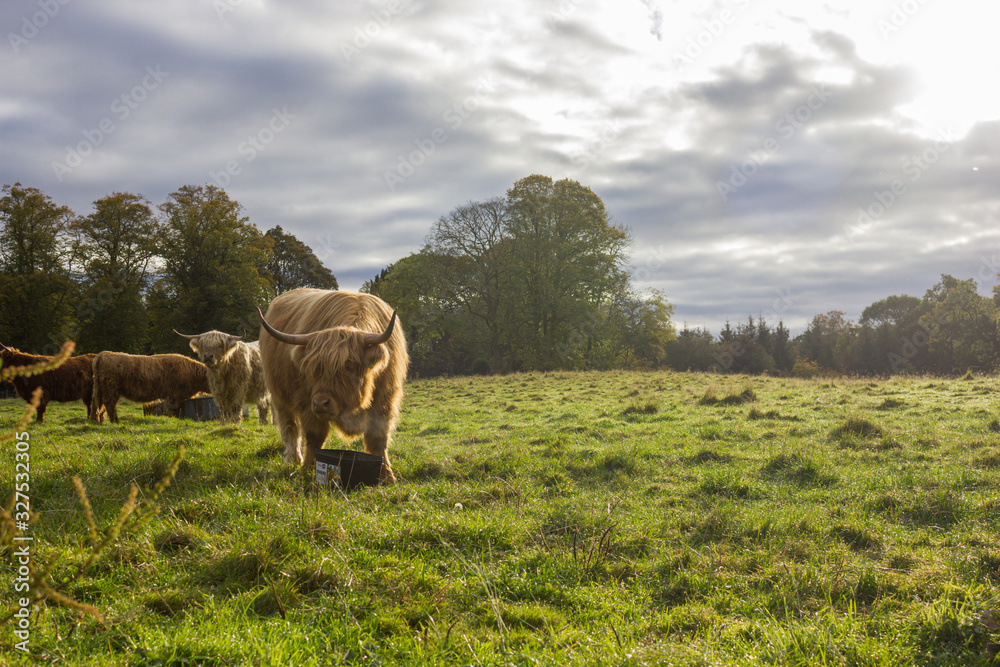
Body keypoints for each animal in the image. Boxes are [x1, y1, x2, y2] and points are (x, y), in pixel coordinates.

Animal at [257, 288, 409, 483]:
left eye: (349, 366)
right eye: (313, 367)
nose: (321, 403)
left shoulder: (385, 402)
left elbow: (378, 438)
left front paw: (387, 476)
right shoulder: (307, 402)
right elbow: (315, 436)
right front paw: (308, 469)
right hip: (279, 397)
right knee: (289, 427)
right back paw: (293, 459)